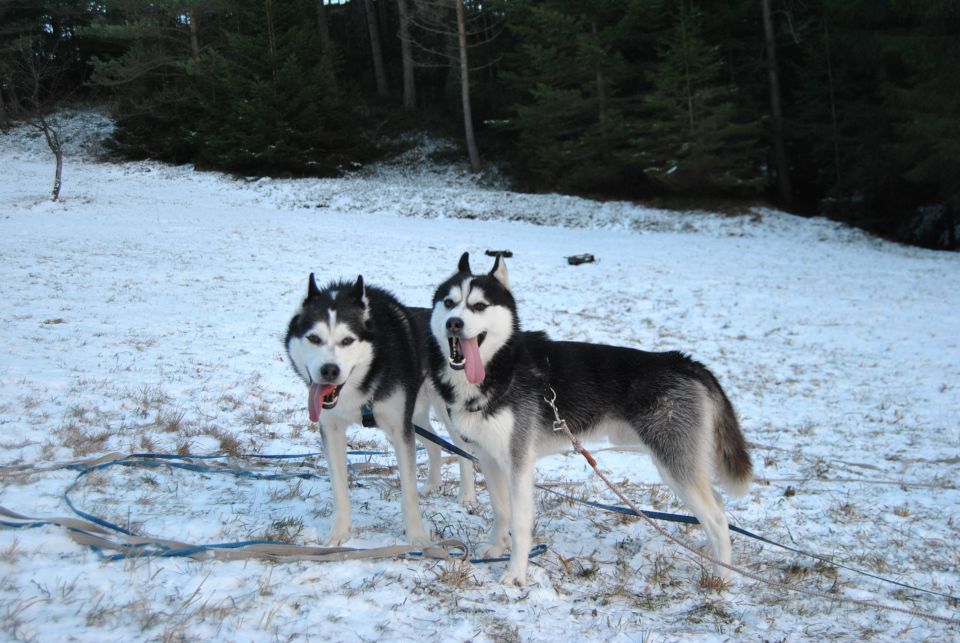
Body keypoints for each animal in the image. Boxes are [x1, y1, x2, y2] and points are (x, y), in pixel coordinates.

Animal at [286, 274, 478, 544]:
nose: (329, 370)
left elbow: (408, 493)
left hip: (445, 413)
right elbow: (339, 490)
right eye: (314, 338)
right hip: (414, 416)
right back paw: (432, 484)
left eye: (347, 340)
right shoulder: (332, 429)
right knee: (434, 444)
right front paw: (339, 534)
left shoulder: (399, 429)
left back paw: (467, 496)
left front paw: (417, 538)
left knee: (462, 448)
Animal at [432, 254, 752, 588]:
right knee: (717, 504)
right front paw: (496, 549)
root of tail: (683, 361)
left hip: (675, 464)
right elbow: (501, 510)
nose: (454, 322)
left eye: (479, 306)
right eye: (449, 302)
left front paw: (516, 574)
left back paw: (723, 577)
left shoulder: (518, 463)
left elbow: (519, 525)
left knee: (717, 518)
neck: (501, 367)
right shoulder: (488, 457)